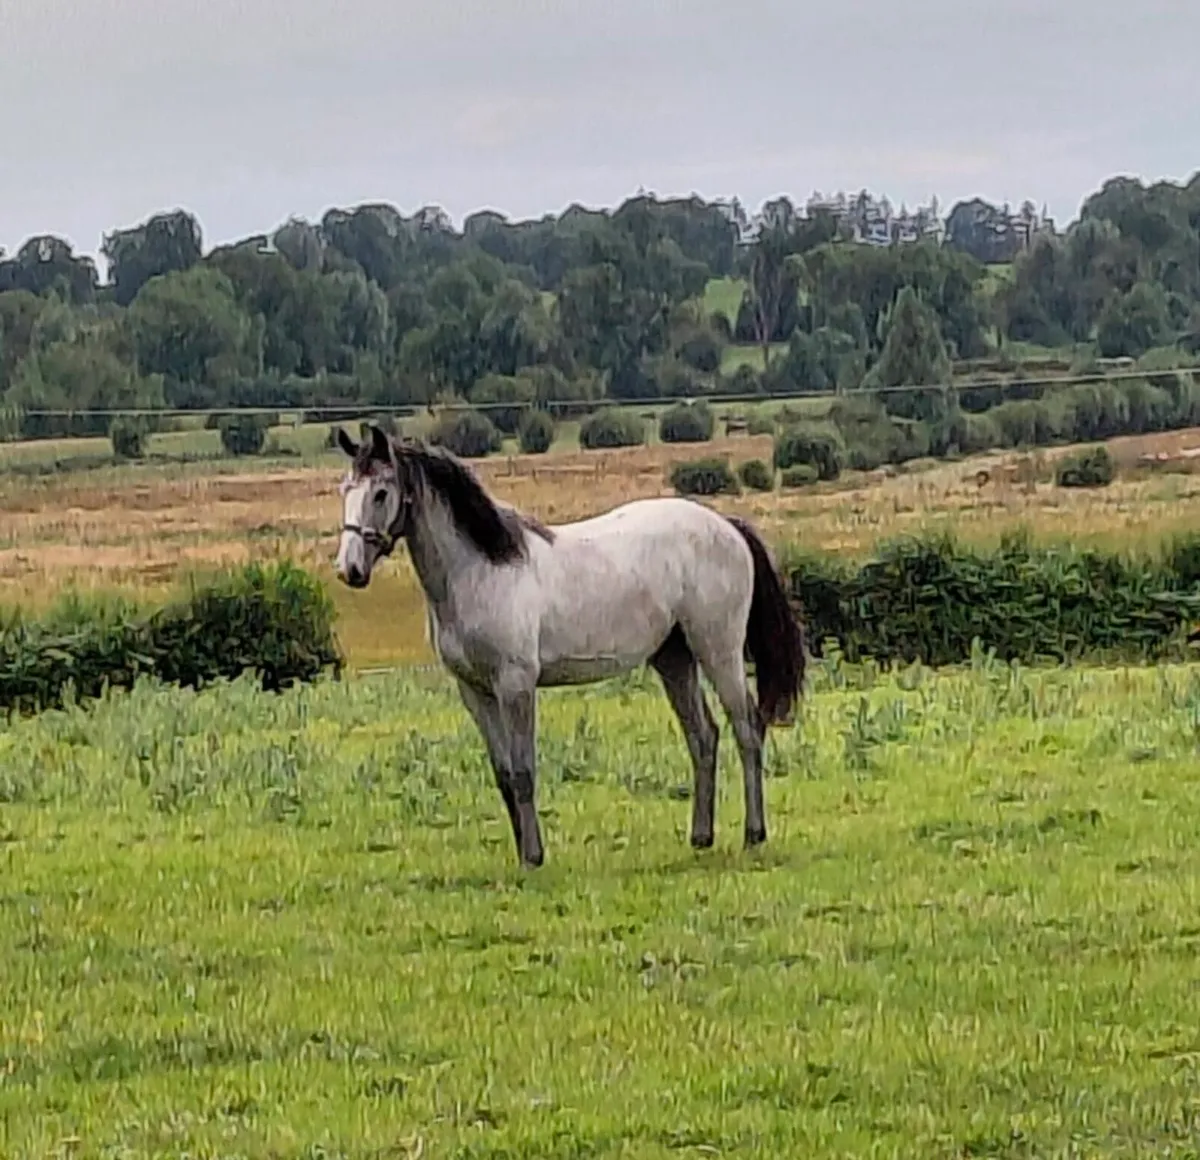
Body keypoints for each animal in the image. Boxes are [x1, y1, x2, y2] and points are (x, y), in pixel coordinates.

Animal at [333, 423, 808, 869]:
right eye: (345, 489)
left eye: (381, 492)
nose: (348, 569)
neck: (480, 570)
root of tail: (729, 527)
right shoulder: (475, 692)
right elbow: (503, 774)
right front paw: (522, 852)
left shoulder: (515, 685)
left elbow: (523, 771)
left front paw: (534, 858)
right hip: (673, 659)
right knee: (703, 736)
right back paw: (701, 837)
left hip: (719, 651)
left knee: (747, 730)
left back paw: (753, 834)